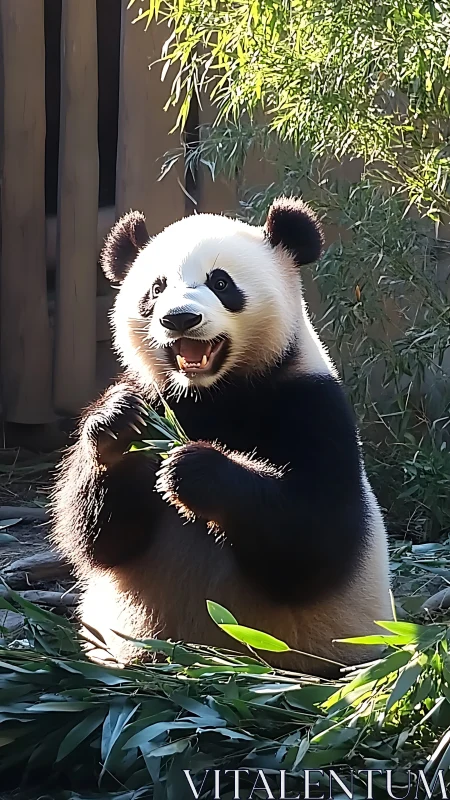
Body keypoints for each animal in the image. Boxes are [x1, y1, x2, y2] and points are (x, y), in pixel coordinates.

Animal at [50, 197, 391, 676]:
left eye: (221, 282)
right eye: (156, 288)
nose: (179, 319)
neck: (211, 394)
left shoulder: (310, 403)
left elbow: (317, 538)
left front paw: (192, 470)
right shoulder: (155, 393)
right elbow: (97, 539)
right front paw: (118, 423)